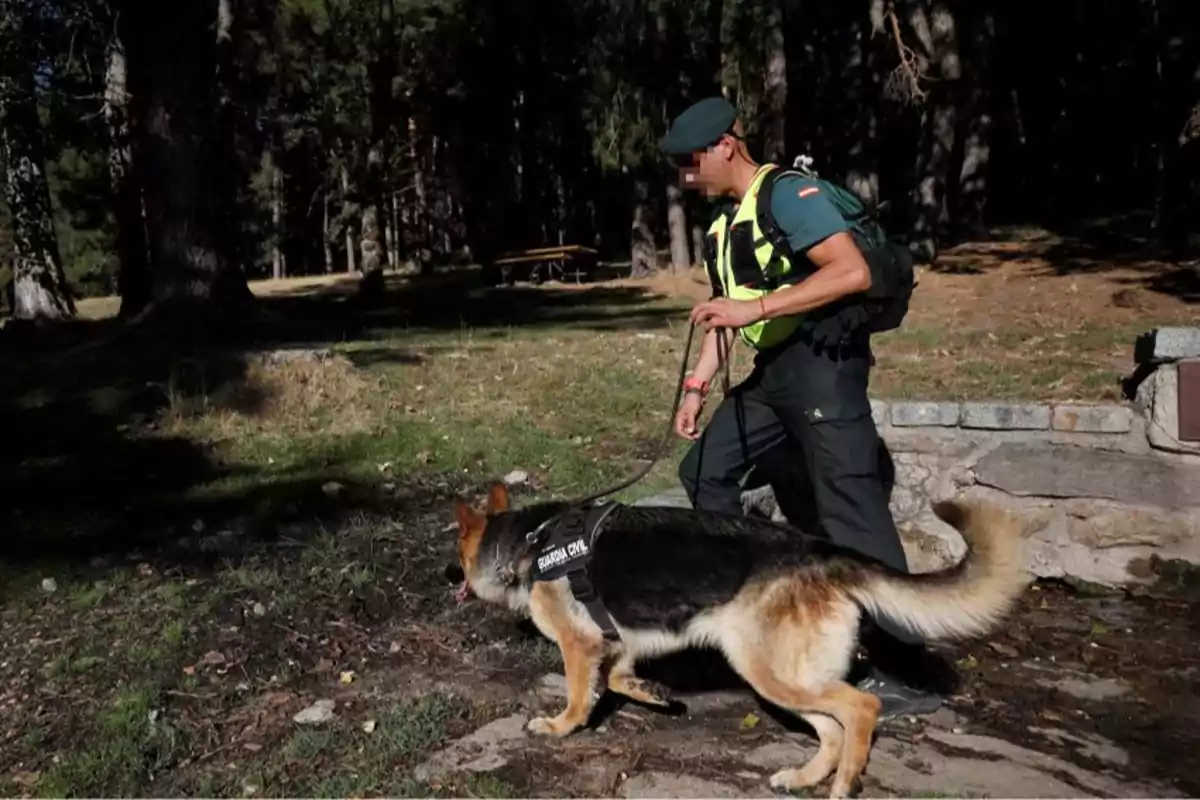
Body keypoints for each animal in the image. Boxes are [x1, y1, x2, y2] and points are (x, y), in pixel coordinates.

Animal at [453, 484, 1027, 796]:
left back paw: (844, 784)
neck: (527, 542)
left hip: (769, 671)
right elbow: (617, 675)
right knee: (832, 729)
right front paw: (651, 694)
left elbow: (580, 693)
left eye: (458, 552)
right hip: (785, 679)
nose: (446, 574)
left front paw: (561, 726)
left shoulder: (579, 645)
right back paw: (803, 778)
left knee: (861, 708)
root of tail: (819, 552)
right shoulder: (620, 640)